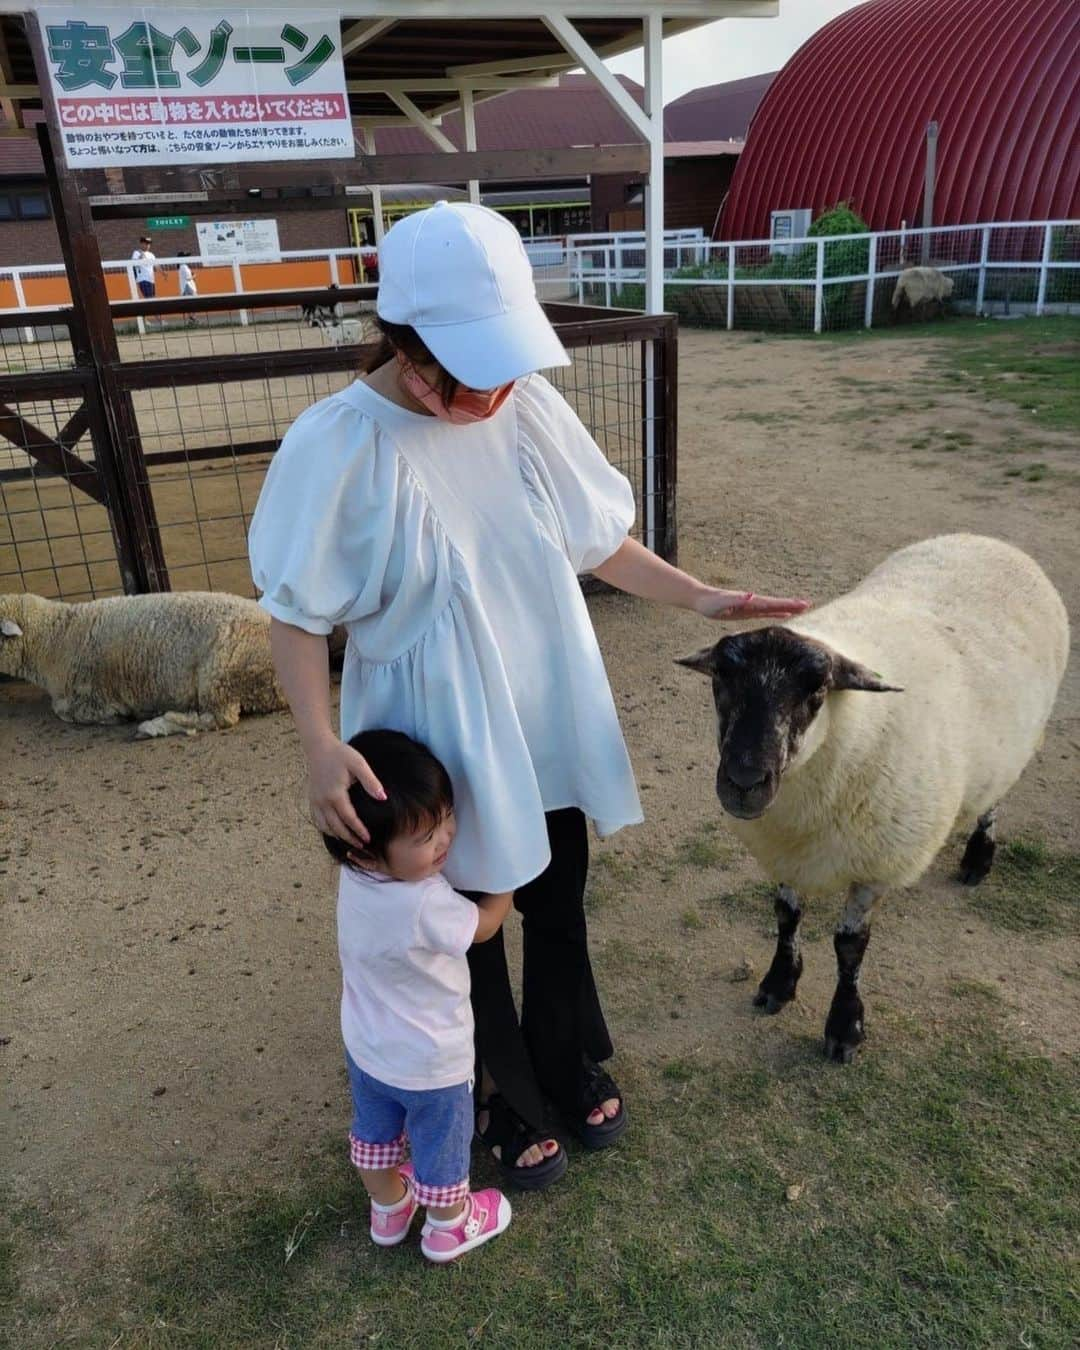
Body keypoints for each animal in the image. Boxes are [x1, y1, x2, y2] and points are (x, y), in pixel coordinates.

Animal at [0, 591, 286, 739]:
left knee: (220, 718)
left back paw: (155, 725)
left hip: (220, 674)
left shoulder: (94, 697)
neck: (56, 636)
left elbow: (63, 711)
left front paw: (116, 719)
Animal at [680, 534, 1069, 1063]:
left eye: (818, 692)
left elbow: (850, 946)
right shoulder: (786, 849)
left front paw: (845, 1026)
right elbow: (786, 915)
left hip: (1015, 747)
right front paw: (779, 983)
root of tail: (989, 540)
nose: (743, 781)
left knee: (992, 801)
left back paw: (978, 858)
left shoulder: (878, 864)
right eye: (719, 681)